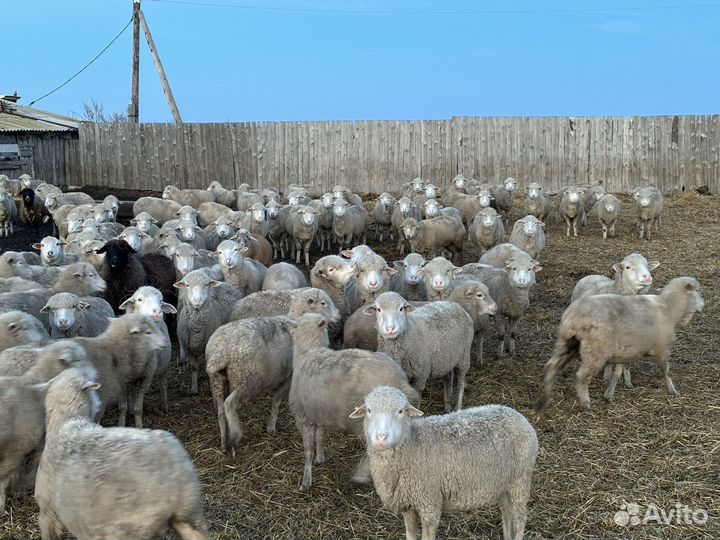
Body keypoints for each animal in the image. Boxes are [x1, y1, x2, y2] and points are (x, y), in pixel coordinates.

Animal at [206, 291, 340, 453]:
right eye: (323, 303)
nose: (338, 315)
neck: (296, 321)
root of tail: (221, 352)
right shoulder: (288, 376)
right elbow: (276, 401)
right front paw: (271, 426)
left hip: (217, 381)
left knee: (220, 412)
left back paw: (223, 443)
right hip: (245, 380)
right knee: (229, 405)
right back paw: (235, 437)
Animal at [288, 313, 419, 491]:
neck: (309, 350)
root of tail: (400, 380)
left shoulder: (303, 418)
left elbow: (308, 450)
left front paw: (306, 481)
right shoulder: (319, 414)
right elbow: (320, 437)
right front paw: (320, 457)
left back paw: (361, 475)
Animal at [350, 386, 538, 540]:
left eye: (400, 411)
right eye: (369, 410)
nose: (381, 438)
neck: (411, 445)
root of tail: (516, 414)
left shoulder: (430, 504)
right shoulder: (408, 505)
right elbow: (410, 535)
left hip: (521, 480)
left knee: (520, 517)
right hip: (504, 483)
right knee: (507, 512)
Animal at [538, 277, 704, 411]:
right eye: (697, 291)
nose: (703, 305)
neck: (669, 308)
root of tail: (573, 316)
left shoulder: (624, 352)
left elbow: (617, 373)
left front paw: (609, 394)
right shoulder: (662, 349)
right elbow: (666, 370)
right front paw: (673, 390)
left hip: (567, 343)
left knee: (550, 367)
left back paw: (545, 399)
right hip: (594, 351)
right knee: (581, 377)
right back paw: (585, 403)